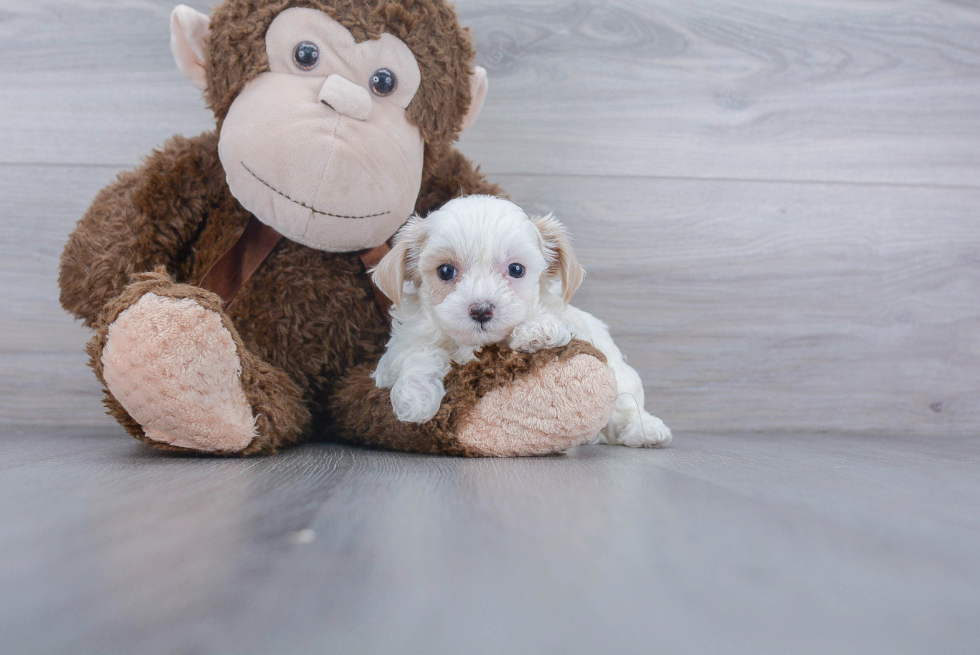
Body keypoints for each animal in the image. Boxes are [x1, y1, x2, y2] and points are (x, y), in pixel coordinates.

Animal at [372, 195, 668, 448]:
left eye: (516, 269)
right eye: (445, 271)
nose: (481, 310)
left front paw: (537, 330)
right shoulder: (395, 354)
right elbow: (419, 353)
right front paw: (416, 395)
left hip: (622, 375)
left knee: (625, 405)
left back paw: (646, 430)